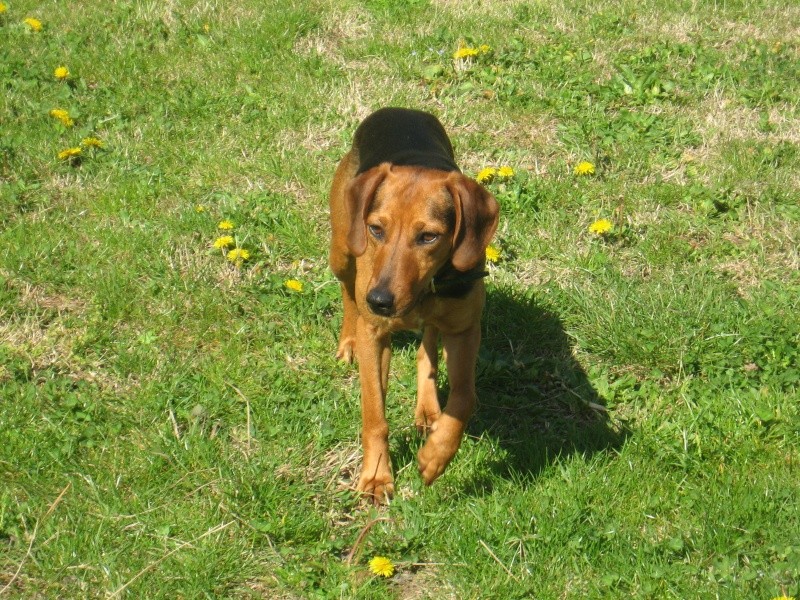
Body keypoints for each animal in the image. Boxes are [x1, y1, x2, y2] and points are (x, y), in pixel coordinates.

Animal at [328, 108, 496, 502]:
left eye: (429, 237)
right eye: (376, 229)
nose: (379, 301)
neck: (426, 289)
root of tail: (398, 110)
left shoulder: (465, 328)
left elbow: (464, 398)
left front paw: (436, 456)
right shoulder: (375, 334)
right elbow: (375, 416)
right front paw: (376, 478)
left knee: (427, 348)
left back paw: (428, 409)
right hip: (342, 250)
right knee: (347, 291)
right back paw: (348, 342)